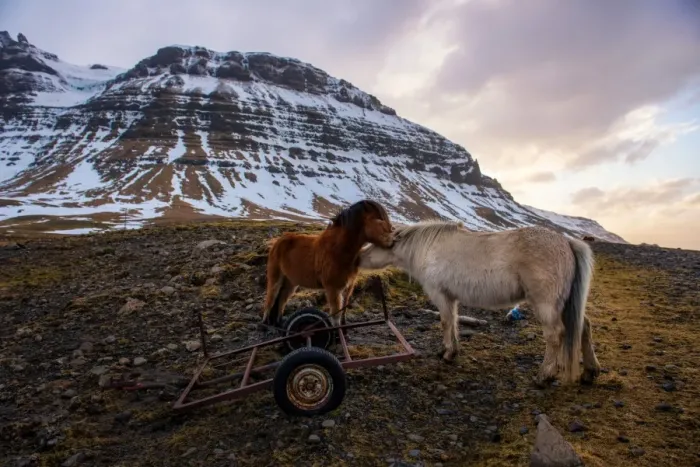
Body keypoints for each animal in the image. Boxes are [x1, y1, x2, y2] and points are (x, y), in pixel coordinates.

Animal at [261, 199, 395, 327]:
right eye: (379, 220)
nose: (392, 242)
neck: (338, 249)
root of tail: (277, 243)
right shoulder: (333, 289)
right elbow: (336, 318)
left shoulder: (347, 288)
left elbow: (343, 314)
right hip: (275, 279)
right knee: (270, 301)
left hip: (291, 283)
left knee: (281, 300)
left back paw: (279, 324)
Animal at [358, 220, 601, 386]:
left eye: (374, 244)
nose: (357, 259)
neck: (428, 248)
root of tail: (566, 242)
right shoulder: (450, 297)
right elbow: (454, 322)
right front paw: (450, 350)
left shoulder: (440, 295)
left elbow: (445, 322)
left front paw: (447, 353)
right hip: (565, 304)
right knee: (584, 327)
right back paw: (590, 371)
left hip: (546, 305)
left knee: (555, 335)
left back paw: (544, 375)